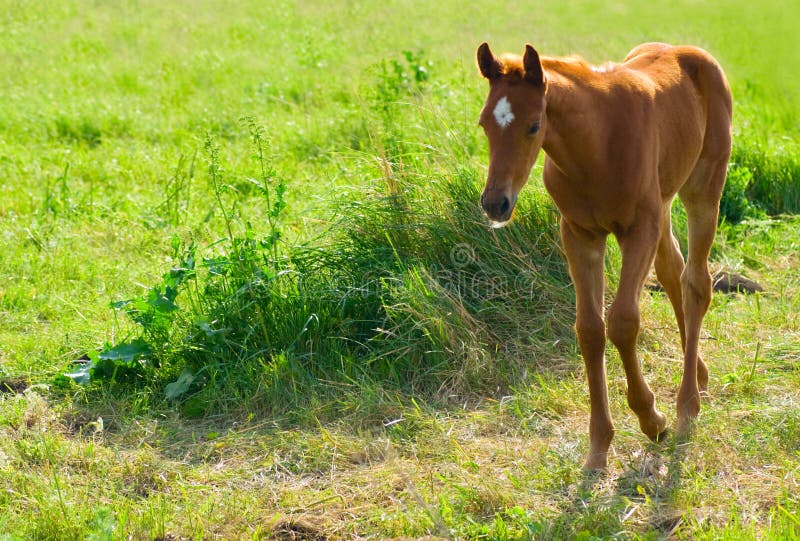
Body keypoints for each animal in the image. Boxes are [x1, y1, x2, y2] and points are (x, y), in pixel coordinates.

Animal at [478, 43, 736, 468]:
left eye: (533, 125)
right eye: (484, 124)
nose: (495, 203)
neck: (595, 147)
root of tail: (686, 50)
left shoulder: (638, 230)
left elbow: (623, 322)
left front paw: (652, 419)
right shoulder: (580, 235)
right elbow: (589, 329)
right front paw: (599, 443)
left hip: (703, 187)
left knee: (696, 282)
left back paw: (687, 406)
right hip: (663, 202)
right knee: (673, 271)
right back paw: (697, 374)